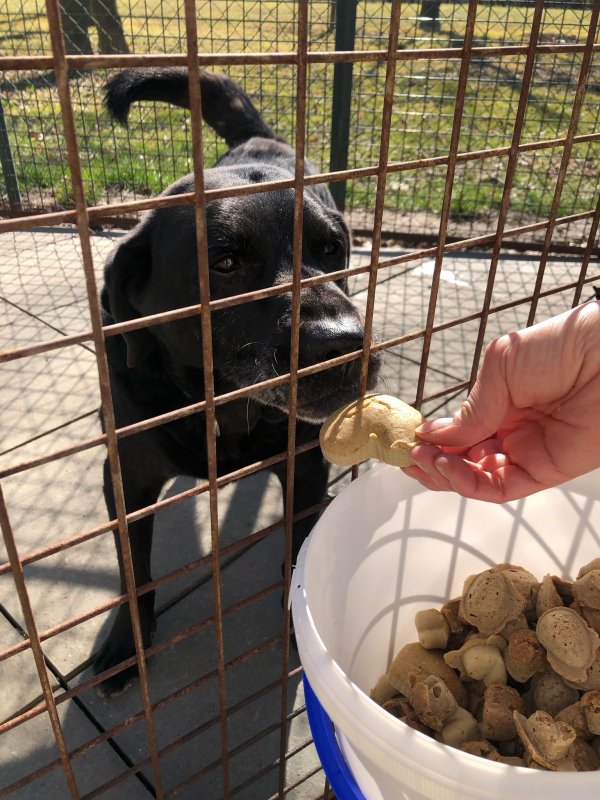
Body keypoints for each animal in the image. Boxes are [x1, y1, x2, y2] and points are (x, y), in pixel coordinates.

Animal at [95, 67, 381, 695]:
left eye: (331, 249)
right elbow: (134, 571)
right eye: (224, 264)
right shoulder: (125, 478)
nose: (344, 343)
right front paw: (128, 645)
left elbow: (300, 540)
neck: (223, 409)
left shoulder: (304, 463)